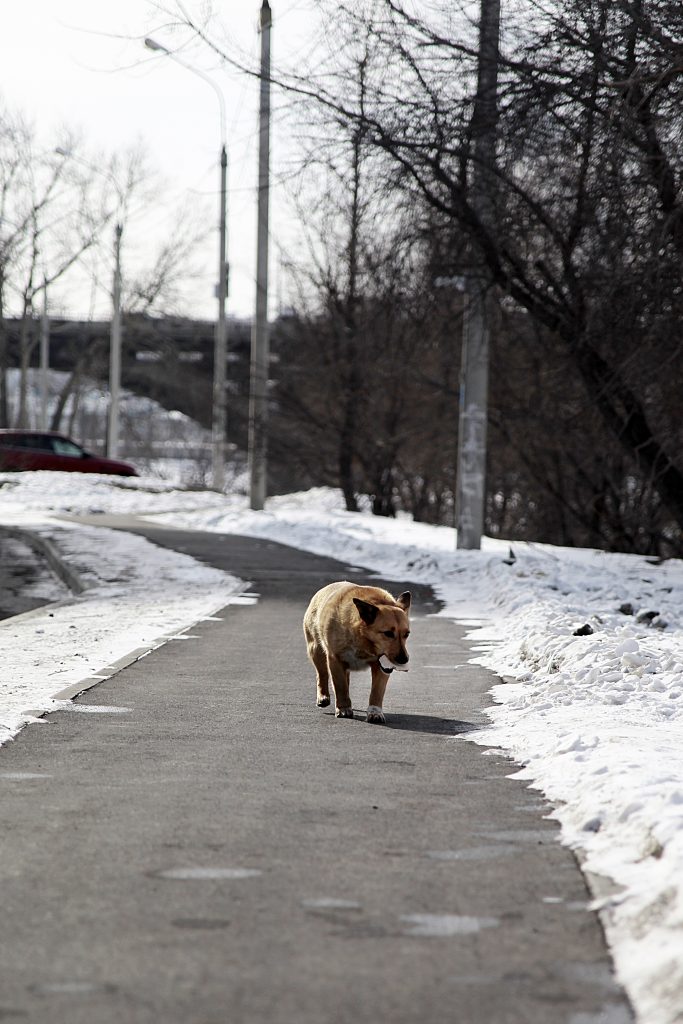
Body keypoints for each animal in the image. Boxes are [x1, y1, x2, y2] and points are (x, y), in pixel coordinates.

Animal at [305, 581, 411, 724]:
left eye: (407, 634)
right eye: (388, 633)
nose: (404, 659)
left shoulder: (380, 667)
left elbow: (377, 691)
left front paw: (375, 712)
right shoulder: (335, 659)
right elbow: (340, 686)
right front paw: (343, 709)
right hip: (315, 650)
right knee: (322, 674)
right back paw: (323, 696)